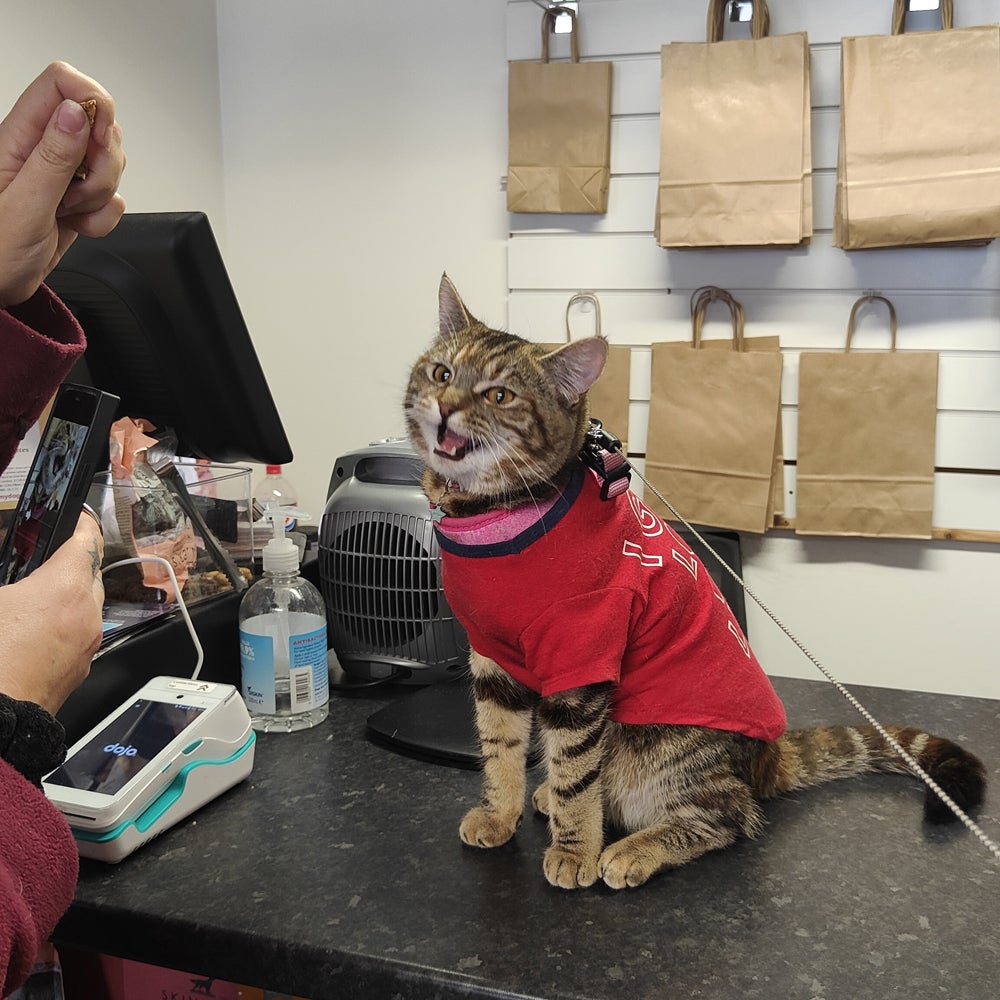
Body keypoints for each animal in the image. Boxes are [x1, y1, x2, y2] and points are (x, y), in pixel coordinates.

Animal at [402, 274, 988, 892]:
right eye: (442, 373)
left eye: (499, 396)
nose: (445, 407)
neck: (489, 515)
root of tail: (766, 757)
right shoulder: (492, 658)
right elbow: (500, 747)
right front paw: (499, 813)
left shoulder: (584, 661)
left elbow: (576, 772)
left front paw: (574, 848)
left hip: (659, 748)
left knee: (731, 815)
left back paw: (633, 849)